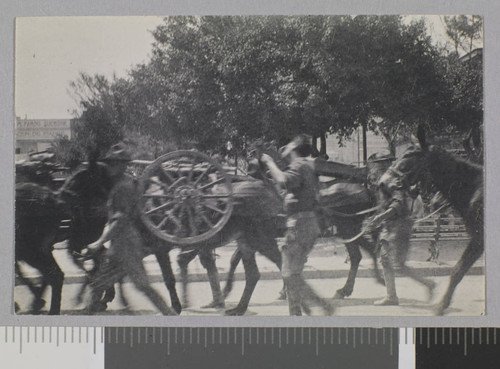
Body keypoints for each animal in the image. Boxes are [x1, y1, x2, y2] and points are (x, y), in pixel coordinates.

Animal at [384, 126, 482, 314]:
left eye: (408, 156)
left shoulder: (478, 239)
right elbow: (458, 270)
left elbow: (457, 270)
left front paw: (441, 306)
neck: (472, 189)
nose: (384, 181)